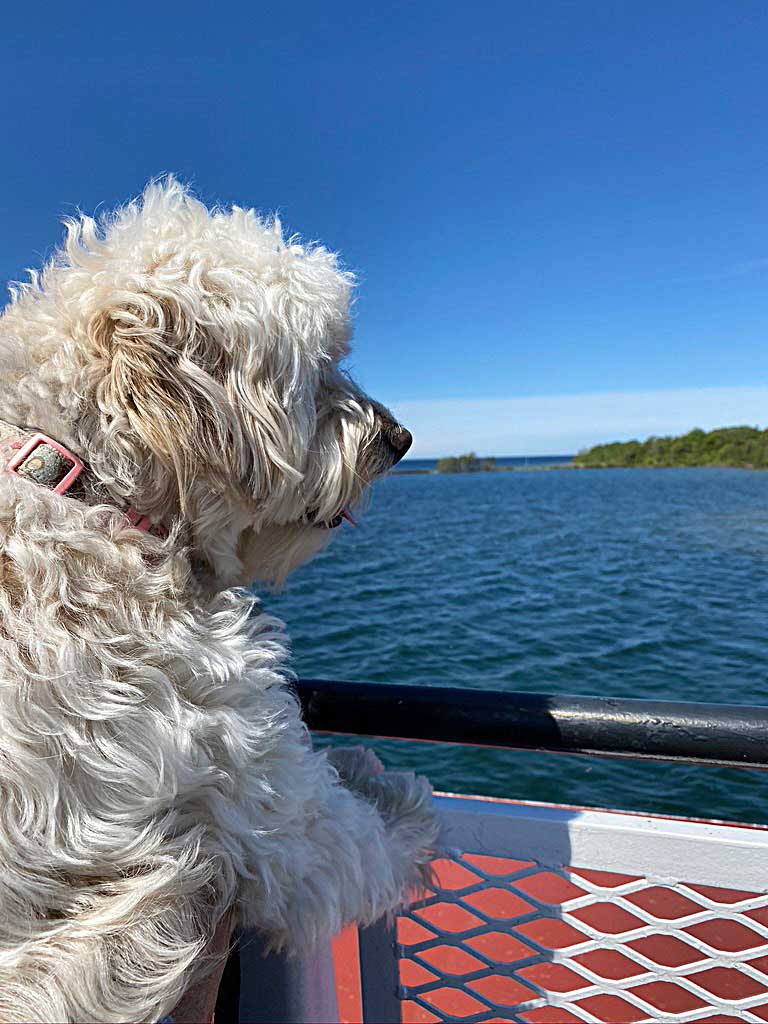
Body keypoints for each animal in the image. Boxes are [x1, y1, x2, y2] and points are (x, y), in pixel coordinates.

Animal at [0, 180, 438, 1024]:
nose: (399, 437)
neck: (86, 489)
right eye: (321, 366)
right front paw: (394, 794)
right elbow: (355, 837)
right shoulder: (262, 797)